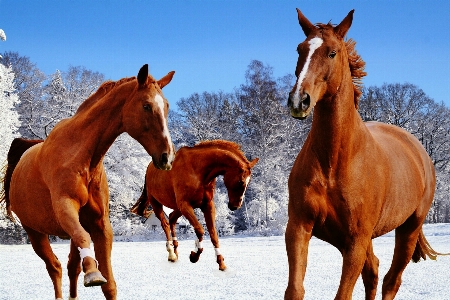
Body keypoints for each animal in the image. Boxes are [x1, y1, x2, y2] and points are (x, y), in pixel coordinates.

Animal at [0, 63, 175, 300]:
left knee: (71, 267)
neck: (81, 154)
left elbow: (109, 284)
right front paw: (92, 272)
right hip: (34, 232)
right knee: (55, 267)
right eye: (147, 106)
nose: (167, 157)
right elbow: (84, 240)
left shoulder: (100, 224)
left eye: (166, 106)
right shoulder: (65, 208)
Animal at [130, 139, 256, 270]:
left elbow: (214, 235)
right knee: (165, 225)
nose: (235, 206)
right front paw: (194, 255)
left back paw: (176, 252)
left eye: (249, 182)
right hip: (156, 204)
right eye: (241, 182)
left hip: (177, 207)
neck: (198, 170)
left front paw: (221, 262)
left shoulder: (207, 205)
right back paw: (171, 254)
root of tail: (149, 167)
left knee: (172, 219)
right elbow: (200, 230)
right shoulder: (185, 205)